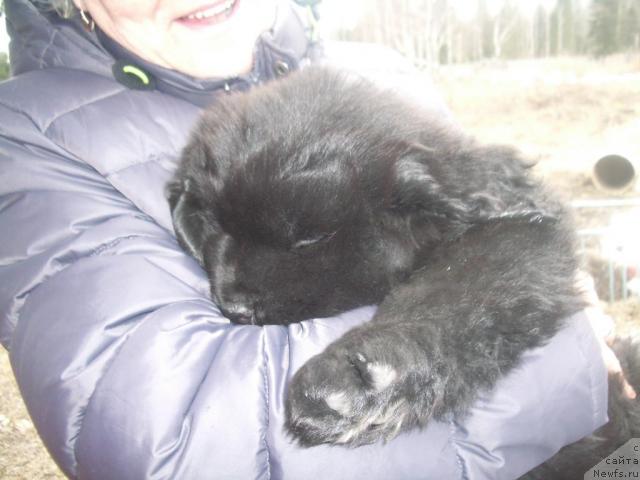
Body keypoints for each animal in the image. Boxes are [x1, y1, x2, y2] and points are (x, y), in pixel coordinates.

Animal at [168, 66, 636, 462]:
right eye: (215, 224)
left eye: (308, 237)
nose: (234, 307)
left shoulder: (521, 231)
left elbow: (455, 287)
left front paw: (353, 377)